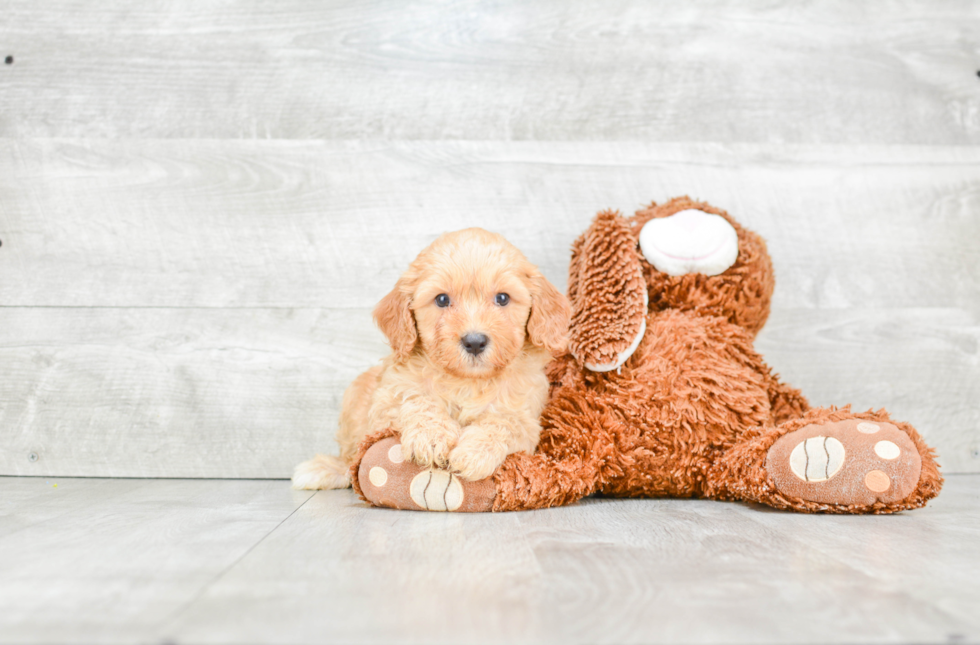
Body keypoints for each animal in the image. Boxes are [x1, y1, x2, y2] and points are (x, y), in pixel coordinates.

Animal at [290, 228, 572, 488]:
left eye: (502, 298)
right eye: (442, 299)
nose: (474, 342)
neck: (466, 381)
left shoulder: (526, 416)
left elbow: (504, 422)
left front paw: (474, 453)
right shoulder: (386, 401)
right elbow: (416, 400)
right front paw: (432, 437)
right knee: (350, 459)